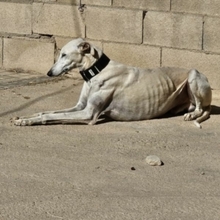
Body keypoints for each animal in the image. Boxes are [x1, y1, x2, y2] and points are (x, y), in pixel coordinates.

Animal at [13, 37, 211, 127]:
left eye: (64, 54)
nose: (49, 73)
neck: (96, 72)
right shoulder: (80, 107)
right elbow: (48, 111)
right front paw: (23, 117)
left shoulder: (89, 114)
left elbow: (50, 116)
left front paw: (26, 121)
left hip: (193, 76)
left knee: (200, 108)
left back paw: (192, 115)